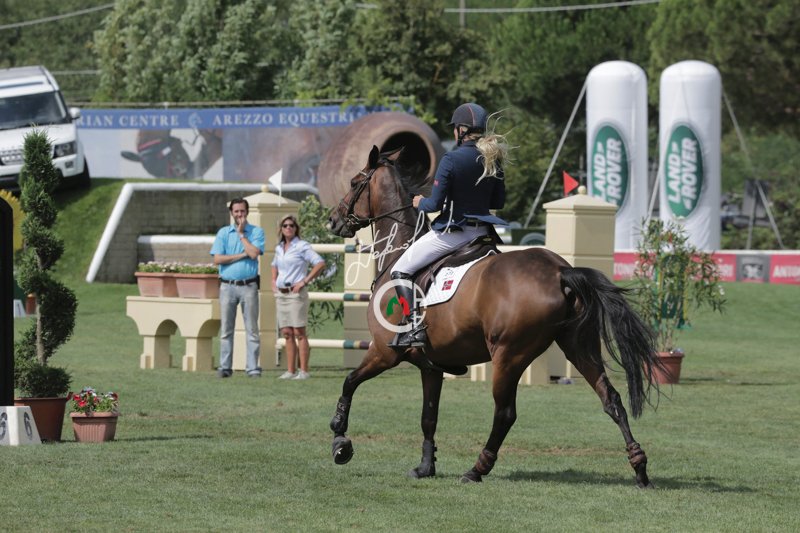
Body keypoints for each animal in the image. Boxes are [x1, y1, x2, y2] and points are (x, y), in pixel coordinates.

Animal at [327, 145, 662, 487]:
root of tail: (560, 271)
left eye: (354, 183)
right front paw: (425, 467)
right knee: (611, 399)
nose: (333, 220)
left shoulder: (384, 353)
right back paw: (639, 468)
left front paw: (340, 440)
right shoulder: (431, 367)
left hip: (508, 355)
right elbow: (428, 417)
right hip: (579, 347)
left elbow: (349, 382)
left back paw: (477, 469)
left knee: (505, 413)